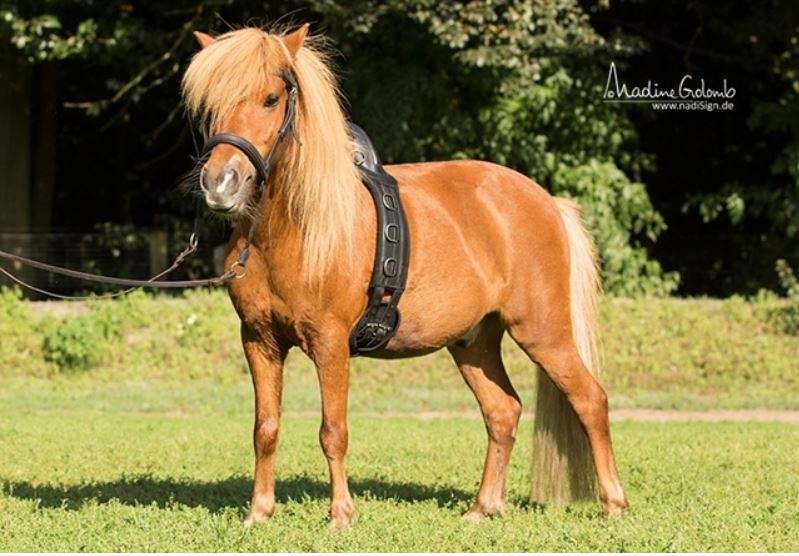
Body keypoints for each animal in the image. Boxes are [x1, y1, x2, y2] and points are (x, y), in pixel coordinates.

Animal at [181, 23, 627, 528]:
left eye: (271, 98)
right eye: (210, 104)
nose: (220, 184)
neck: (295, 229)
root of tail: (547, 201)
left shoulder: (330, 343)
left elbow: (333, 430)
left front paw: (341, 516)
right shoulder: (259, 340)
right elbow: (266, 428)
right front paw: (259, 512)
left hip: (543, 333)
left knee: (590, 401)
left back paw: (613, 504)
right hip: (474, 342)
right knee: (503, 412)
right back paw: (482, 508)